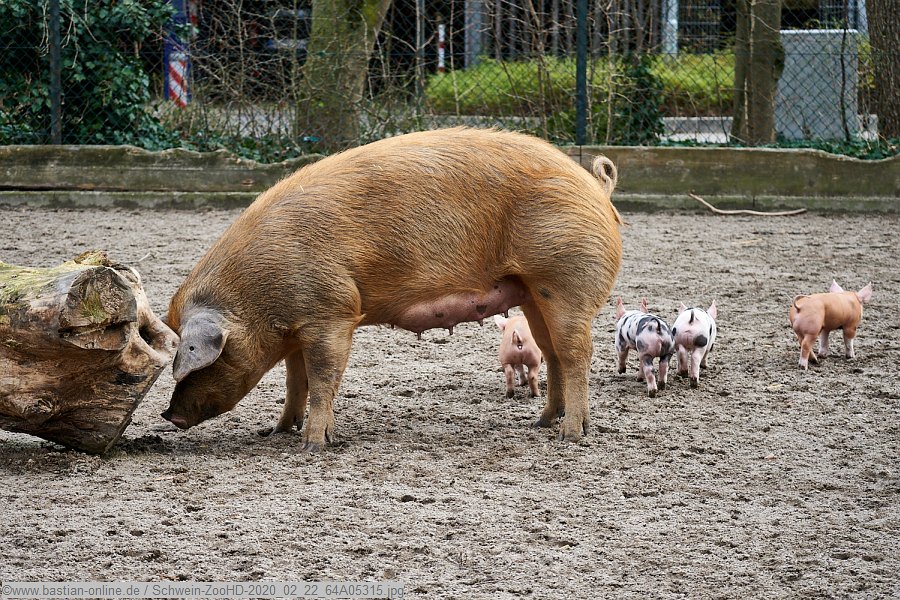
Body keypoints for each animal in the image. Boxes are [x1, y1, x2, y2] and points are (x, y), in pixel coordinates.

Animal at [161, 127, 623, 451]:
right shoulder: (298, 327)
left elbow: (324, 377)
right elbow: (297, 381)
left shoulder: (333, 312)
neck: (259, 298)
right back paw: (542, 421)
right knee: (553, 353)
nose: (169, 416)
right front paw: (277, 432)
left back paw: (570, 435)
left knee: (576, 354)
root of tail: (594, 184)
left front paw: (312, 445)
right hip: (531, 294)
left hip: (566, 279)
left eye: (205, 359)